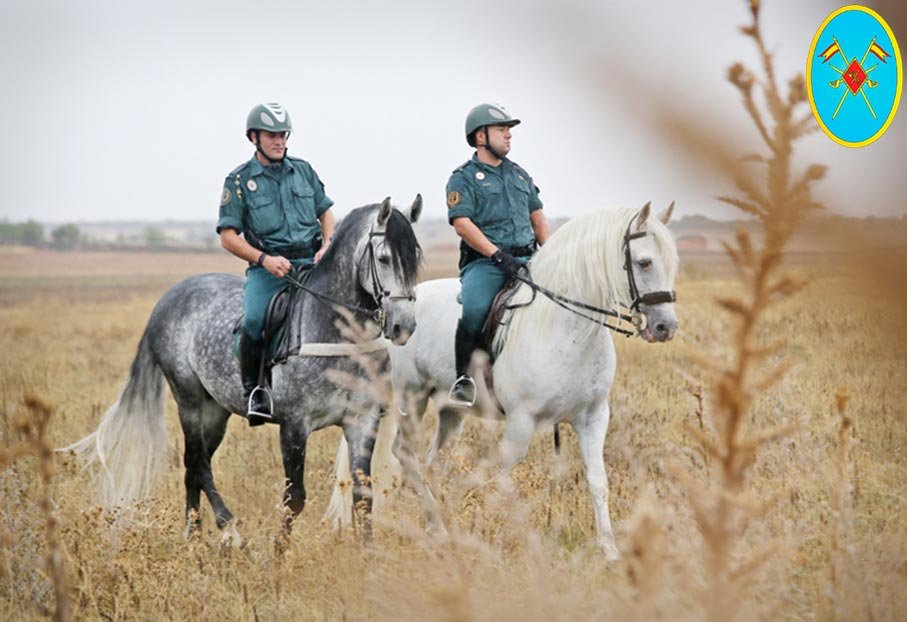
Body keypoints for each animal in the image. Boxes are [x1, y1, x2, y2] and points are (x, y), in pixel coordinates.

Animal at [67, 197, 423, 544]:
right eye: (384, 258)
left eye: (416, 258)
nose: (403, 326)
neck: (335, 333)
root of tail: (167, 299)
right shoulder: (294, 426)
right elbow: (294, 498)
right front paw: (279, 554)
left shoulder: (362, 421)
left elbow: (363, 496)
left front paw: (368, 555)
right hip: (190, 401)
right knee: (198, 462)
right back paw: (229, 529)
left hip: (215, 411)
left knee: (193, 465)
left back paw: (193, 534)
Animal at [327, 202, 678, 559]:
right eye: (644, 262)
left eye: (672, 261)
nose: (666, 327)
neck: (567, 328)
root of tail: (389, 318)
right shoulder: (521, 422)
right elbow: (503, 478)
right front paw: (497, 538)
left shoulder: (593, 417)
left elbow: (597, 481)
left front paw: (610, 551)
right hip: (411, 397)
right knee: (406, 454)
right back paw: (438, 528)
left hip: (451, 409)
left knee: (434, 461)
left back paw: (441, 526)